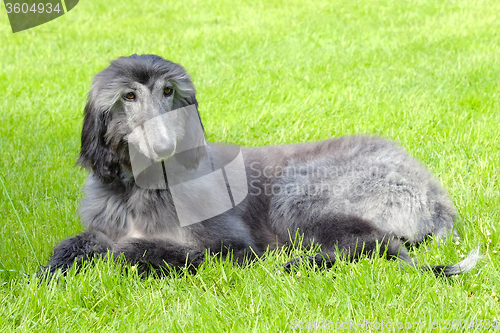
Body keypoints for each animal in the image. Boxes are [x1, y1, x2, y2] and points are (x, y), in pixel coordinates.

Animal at [43, 54, 480, 276]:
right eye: (129, 96)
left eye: (168, 91)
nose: (166, 146)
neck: (142, 191)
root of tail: (433, 191)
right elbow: (77, 243)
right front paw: (52, 269)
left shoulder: (234, 245)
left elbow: (146, 250)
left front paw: (121, 255)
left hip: (301, 195)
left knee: (377, 246)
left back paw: (300, 264)